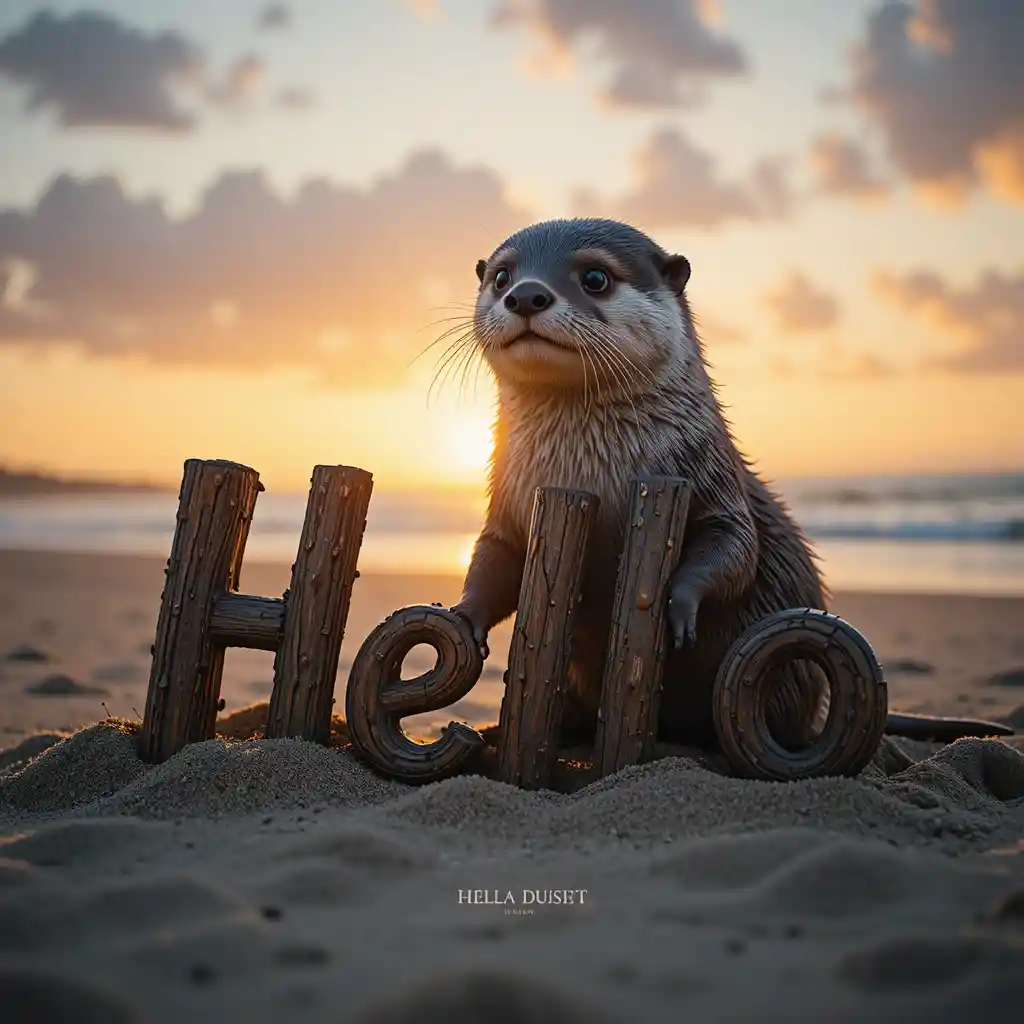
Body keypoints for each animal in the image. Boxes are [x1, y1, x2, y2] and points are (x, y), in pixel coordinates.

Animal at [449, 218, 1011, 750]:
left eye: (595, 277)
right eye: (502, 276)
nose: (526, 294)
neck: (590, 468)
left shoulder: (709, 474)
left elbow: (735, 546)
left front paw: (678, 607)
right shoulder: (509, 503)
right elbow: (494, 560)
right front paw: (465, 616)